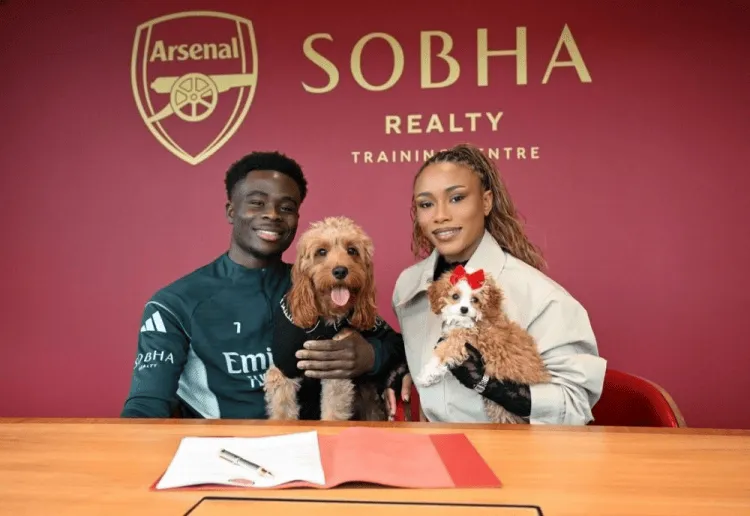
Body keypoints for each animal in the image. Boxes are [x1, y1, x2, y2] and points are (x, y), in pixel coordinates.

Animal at [263, 216, 389, 422]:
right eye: (321, 251)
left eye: (352, 250)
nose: (340, 271)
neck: (324, 315)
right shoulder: (283, 367)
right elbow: (282, 407)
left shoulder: (336, 366)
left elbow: (334, 406)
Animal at [414, 265, 550, 424]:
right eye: (455, 296)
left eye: (475, 299)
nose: (464, 309)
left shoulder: (459, 341)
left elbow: (441, 354)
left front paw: (425, 375)